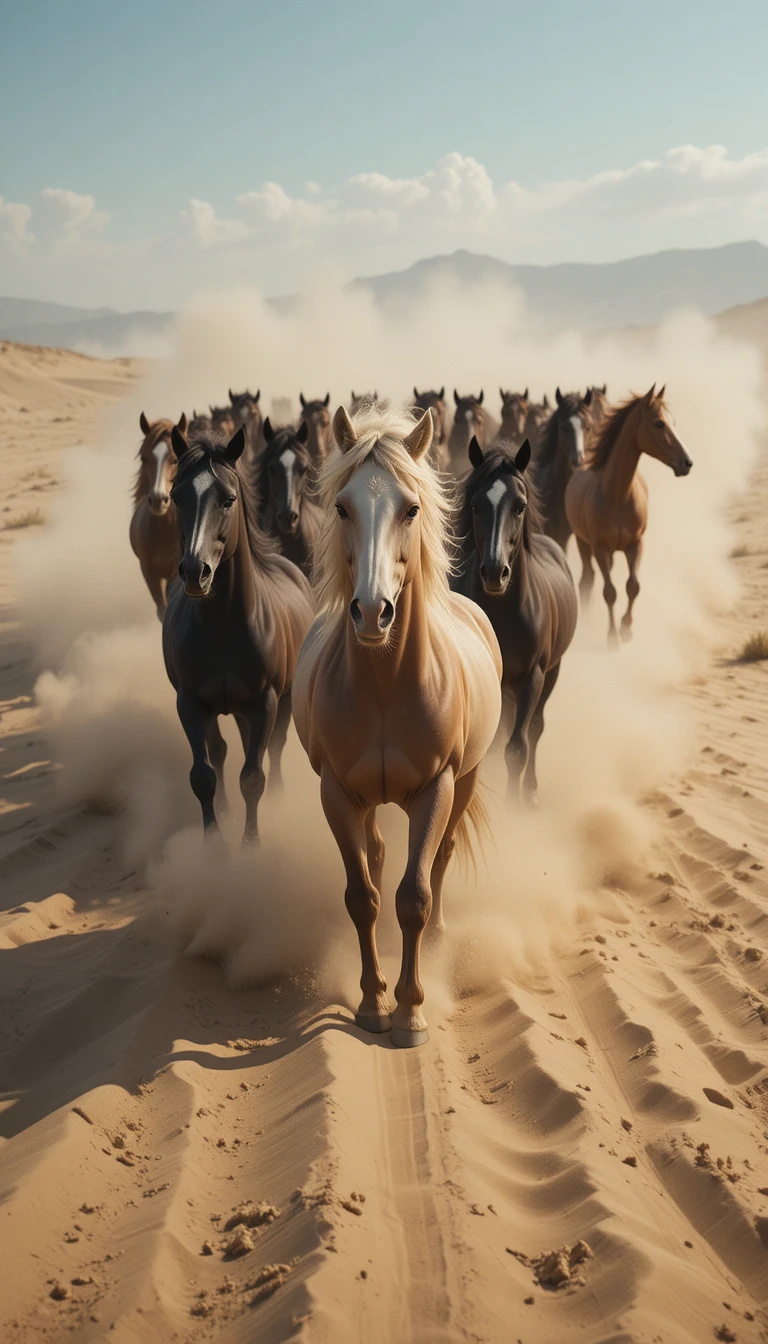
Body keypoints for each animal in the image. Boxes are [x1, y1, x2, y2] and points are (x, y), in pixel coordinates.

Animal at [163, 425, 313, 841]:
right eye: (176, 496)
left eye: (228, 499)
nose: (194, 571)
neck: (224, 627)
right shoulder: (190, 703)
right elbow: (204, 775)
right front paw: (215, 844)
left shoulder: (266, 702)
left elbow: (253, 776)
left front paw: (251, 844)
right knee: (223, 751)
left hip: (282, 700)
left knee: (272, 749)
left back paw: (278, 797)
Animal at [292, 405, 502, 1048]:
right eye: (342, 507)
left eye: (410, 509)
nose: (371, 612)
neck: (386, 686)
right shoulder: (335, 793)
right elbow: (362, 897)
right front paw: (372, 1002)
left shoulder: (436, 789)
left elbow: (414, 896)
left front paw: (411, 1012)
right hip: (367, 802)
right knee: (380, 855)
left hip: (465, 782)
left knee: (440, 859)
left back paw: (437, 942)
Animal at [454, 437, 577, 803]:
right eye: (476, 506)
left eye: (520, 506)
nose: (496, 572)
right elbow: (490, 746)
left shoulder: (533, 676)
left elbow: (517, 747)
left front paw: (512, 805)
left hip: (551, 671)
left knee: (535, 728)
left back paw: (531, 793)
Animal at [565, 385, 693, 644]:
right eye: (659, 423)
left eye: (673, 421)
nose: (686, 462)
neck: (617, 495)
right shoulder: (600, 548)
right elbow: (610, 592)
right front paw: (613, 635)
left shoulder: (636, 544)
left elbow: (633, 586)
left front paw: (626, 628)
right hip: (584, 544)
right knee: (587, 580)